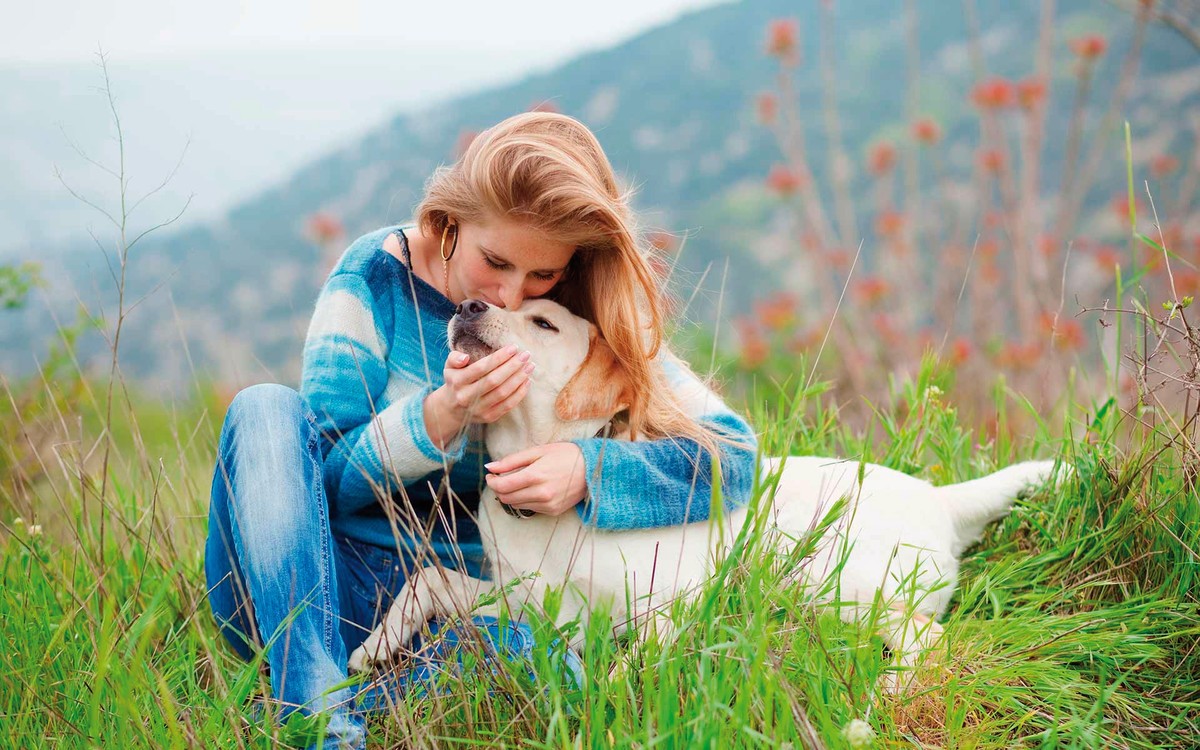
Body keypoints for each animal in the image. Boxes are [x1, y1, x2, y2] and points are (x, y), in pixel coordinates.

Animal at [345, 298, 1060, 691]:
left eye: (543, 322)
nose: (467, 305)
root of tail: (942, 499)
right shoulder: (537, 603)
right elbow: (430, 579)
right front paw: (376, 646)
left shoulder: (665, 607)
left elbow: (622, 667)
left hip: (837, 582)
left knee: (928, 640)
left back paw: (888, 693)